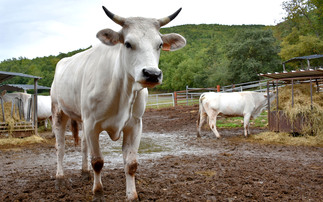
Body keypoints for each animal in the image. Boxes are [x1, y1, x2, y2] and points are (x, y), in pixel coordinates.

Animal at [51, 6, 187, 200]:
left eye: (160, 44)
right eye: (128, 43)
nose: (152, 74)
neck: (122, 91)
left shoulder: (135, 125)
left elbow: (131, 164)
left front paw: (132, 195)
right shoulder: (92, 124)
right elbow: (97, 161)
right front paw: (98, 193)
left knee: (84, 145)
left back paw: (85, 172)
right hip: (58, 111)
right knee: (60, 146)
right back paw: (60, 177)